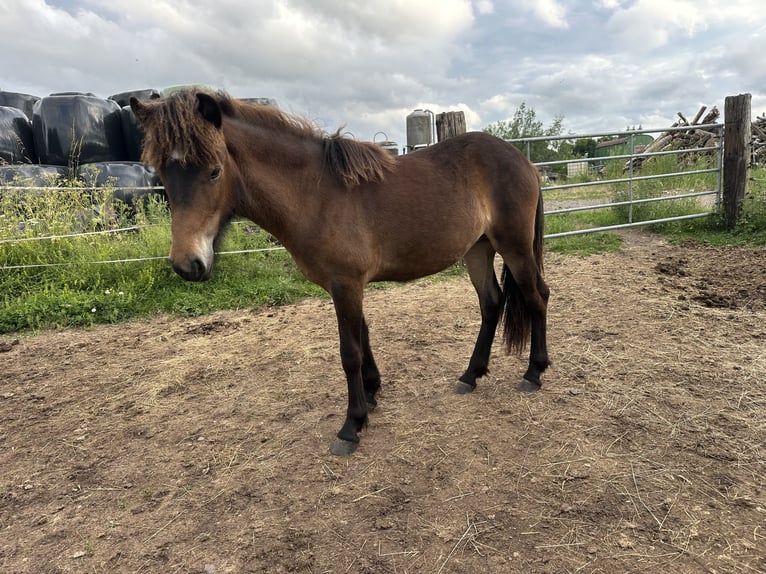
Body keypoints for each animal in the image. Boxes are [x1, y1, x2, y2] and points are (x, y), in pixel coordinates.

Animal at [130, 90, 550, 456]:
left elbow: (349, 351)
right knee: (492, 303)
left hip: (514, 248)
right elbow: (363, 338)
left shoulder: (346, 284)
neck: (316, 195)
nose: (187, 264)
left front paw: (352, 425)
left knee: (536, 297)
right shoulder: (348, 286)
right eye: (162, 175)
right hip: (478, 249)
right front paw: (373, 393)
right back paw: (470, 375)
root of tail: (524, 161)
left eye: (214, 171)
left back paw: (533, 373)